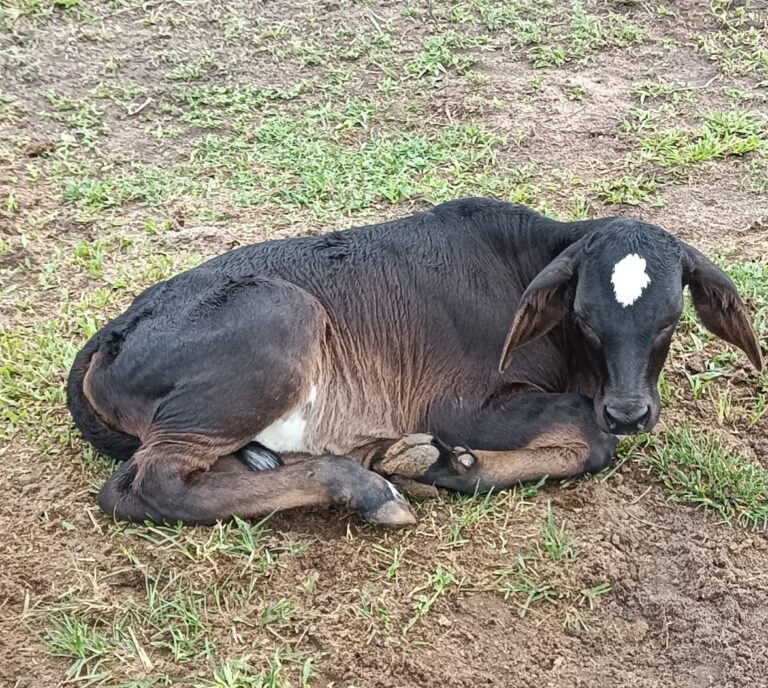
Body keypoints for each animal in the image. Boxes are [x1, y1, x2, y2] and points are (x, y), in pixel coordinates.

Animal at [66, 199, 760, 528]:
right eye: (585, 316)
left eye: (670, 317)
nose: (629, 410)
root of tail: (117, 326)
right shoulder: (457, 405)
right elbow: (590, 437)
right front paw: (445, 465)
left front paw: (438, 462)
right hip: (279, 323)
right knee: (146, 485)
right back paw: (367, 487)